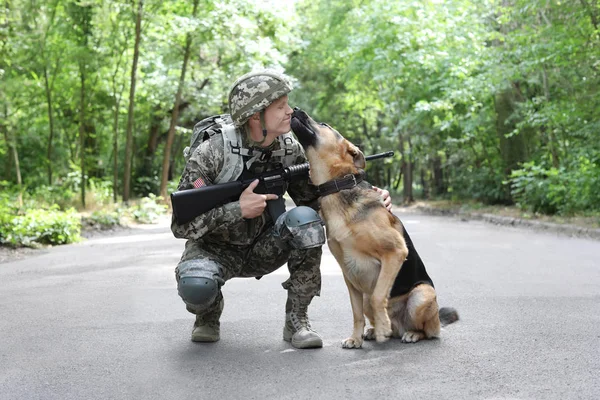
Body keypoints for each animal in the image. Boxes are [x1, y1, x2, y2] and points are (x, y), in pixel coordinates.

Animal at [292, 108, 460, 348]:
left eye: (324, 124)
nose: (296, 109)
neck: (338, 187)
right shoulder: (348, 273)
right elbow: (356, 313)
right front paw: (356, 337)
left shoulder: (395, 251)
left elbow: (378, 295)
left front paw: (382, 327)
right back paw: (373, 331)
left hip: (422, 295)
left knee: (428, 331)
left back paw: (409, 333)